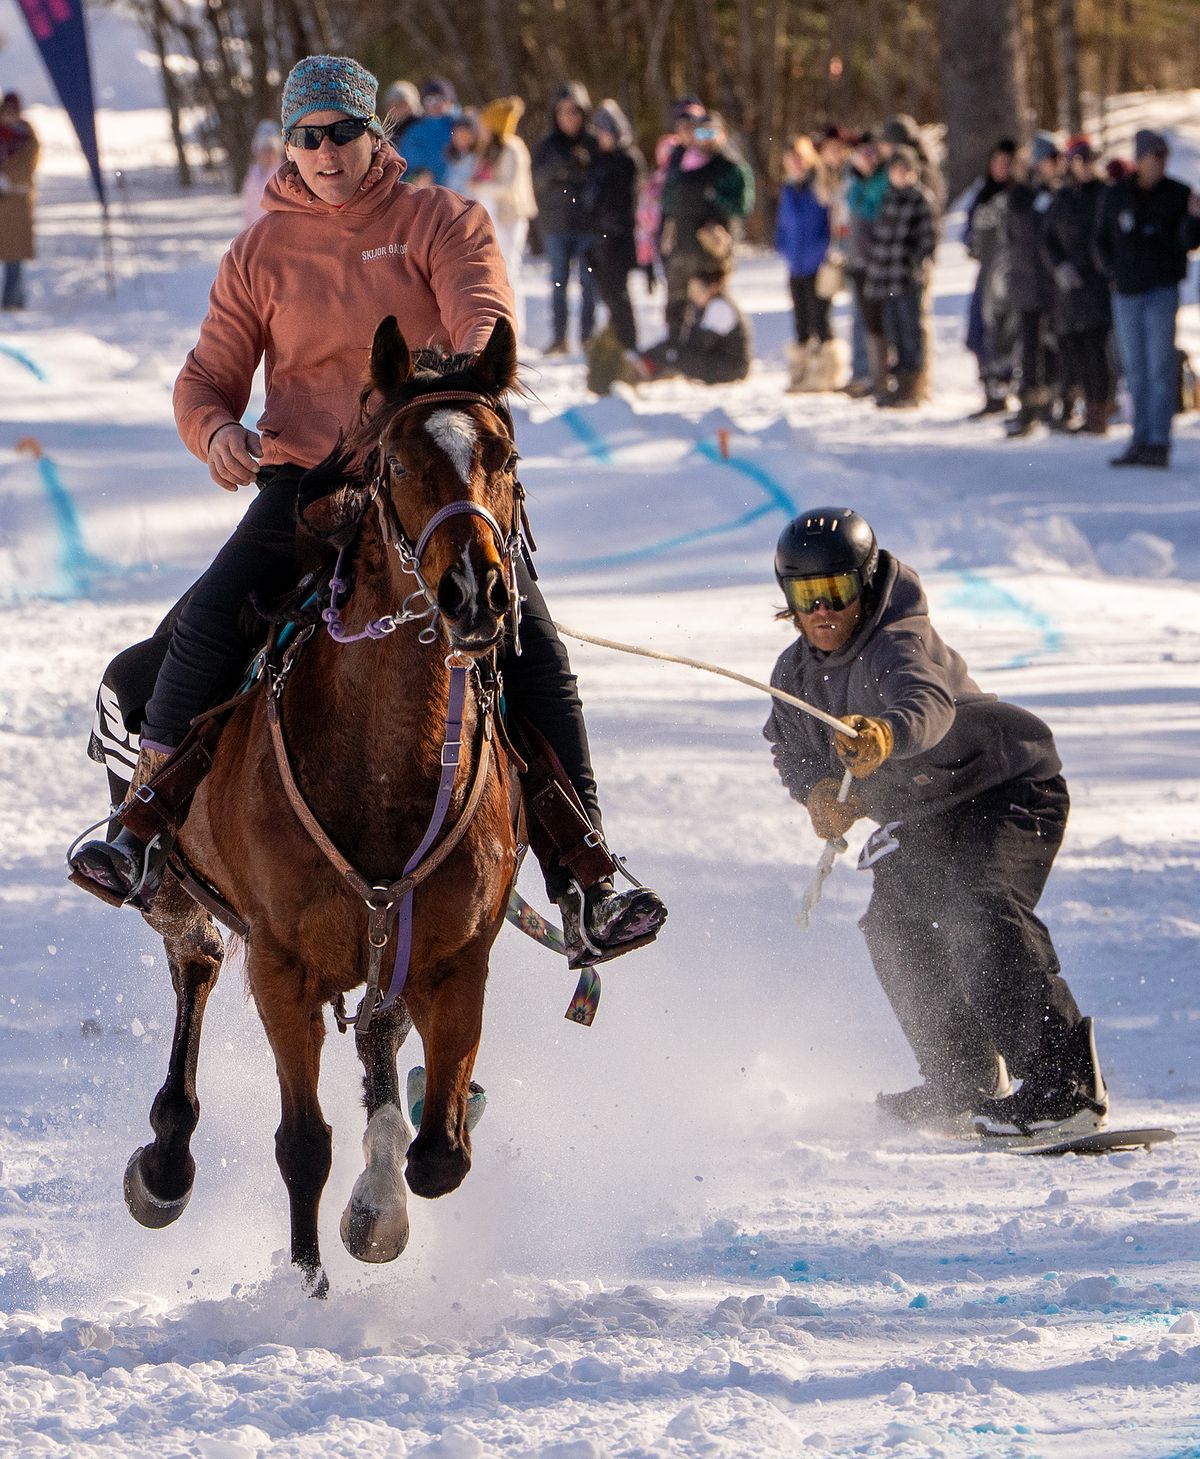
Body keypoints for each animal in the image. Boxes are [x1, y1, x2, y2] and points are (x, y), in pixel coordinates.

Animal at [125, 314, 523, 1295]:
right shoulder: (283, 966)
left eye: (501, 453)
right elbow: (302, 1143)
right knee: (195, 964)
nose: (477, 593)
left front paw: (380, 1205)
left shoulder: (456, 957)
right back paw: (165, 1163)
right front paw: (305, 1287)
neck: (380, 773)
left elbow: (440, 1149)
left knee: (381, 1039)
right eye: (400, 461)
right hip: (177, 889)